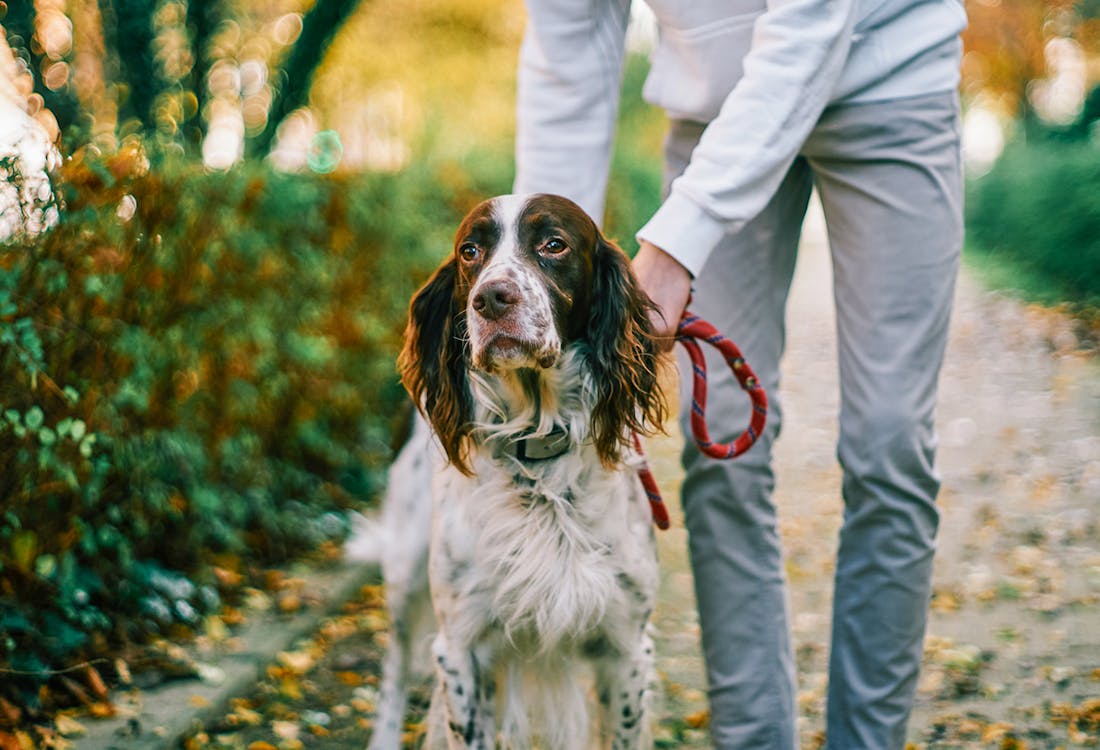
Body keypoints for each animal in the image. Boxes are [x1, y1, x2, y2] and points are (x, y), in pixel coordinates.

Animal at [365, 194, 664, 747]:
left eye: (554, 244)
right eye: (469, 251)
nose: (491, 299)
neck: (537, 449)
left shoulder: (626, 648)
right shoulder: (461, 649)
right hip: (404, 568)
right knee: (394, 669)